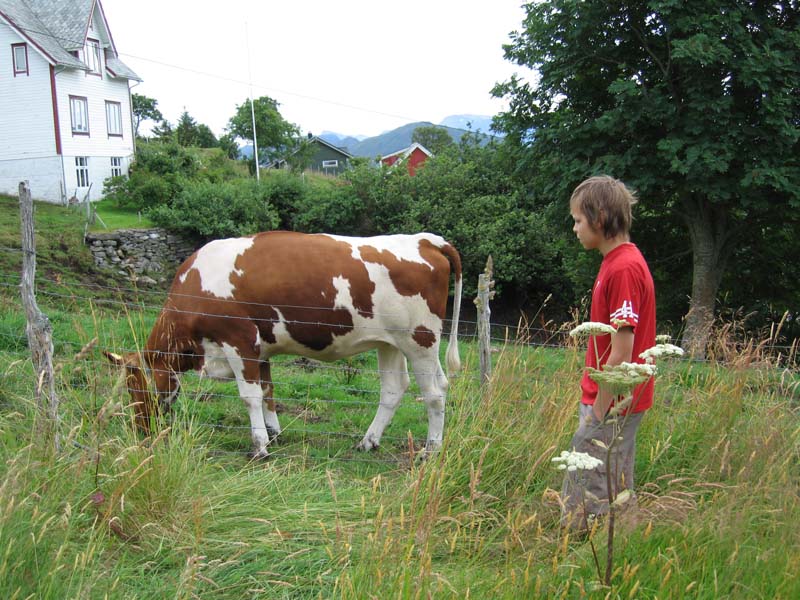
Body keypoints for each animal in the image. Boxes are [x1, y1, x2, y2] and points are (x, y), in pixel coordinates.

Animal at [104, 232, 462, 458]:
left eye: (135, 388)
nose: (140, 430)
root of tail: (425, 239)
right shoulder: (260, 349)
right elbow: (267, 391)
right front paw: (274, 432)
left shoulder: (238, 341)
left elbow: (249, 397)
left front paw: (259, 446)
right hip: (389, 342)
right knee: (394, 389)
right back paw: (368, 442)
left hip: (420, 340)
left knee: (434, 393)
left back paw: (431, 449)